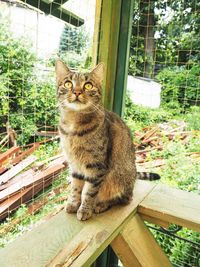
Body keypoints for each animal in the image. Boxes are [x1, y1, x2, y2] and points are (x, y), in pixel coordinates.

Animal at [55, 60, 159, 222]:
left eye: (88, 85)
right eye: (68, 83)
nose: (77, 92)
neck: (73, 126)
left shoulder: (96, 167)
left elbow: (89, 192)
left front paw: (85, 209)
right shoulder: (75, 165)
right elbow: (76, 187)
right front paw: (73, 203)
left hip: (120, 179)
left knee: (124, 199)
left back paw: (101, 205)